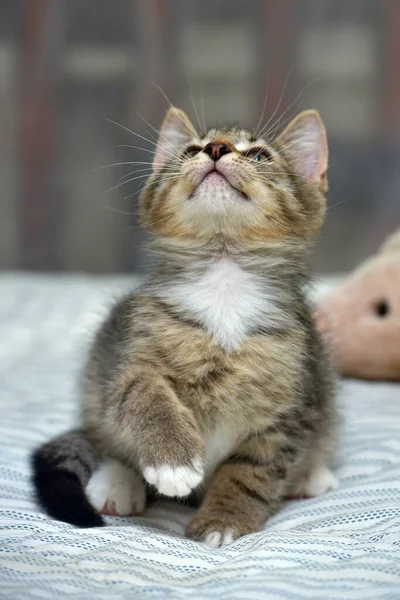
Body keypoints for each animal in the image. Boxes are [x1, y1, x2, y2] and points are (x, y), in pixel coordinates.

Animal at [32, 105, 338, 548]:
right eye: (191, 149)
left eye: (259, 155)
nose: (216, 149)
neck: (223, 282)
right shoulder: (129, 358)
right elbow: (143, 395)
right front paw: (173, 462)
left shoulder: (291, 408)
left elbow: (250, 472)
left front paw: (224, 519)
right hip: (98, 370)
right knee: (105, 435)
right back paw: (118, 482)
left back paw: (312, 474)